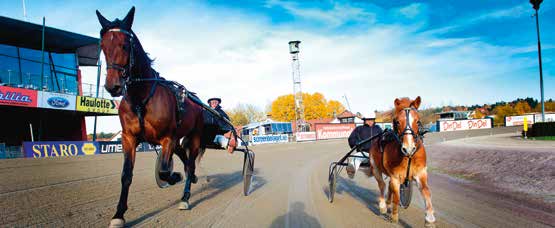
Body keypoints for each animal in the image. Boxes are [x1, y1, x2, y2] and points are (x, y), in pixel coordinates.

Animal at [96, 6, 207, 226]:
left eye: (124, 45)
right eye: (103, 46)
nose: (113, 86)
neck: (141, 99)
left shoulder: (167, 138)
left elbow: (164, 171)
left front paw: (174, 176)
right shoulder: (129, 138)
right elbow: (126, 175)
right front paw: (118, 214)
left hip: (195, 136)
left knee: (190, 164)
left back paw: (185, 196)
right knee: (184, 157)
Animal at [372, 95, 436, 224]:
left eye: (417, 121)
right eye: (397, 122)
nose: (408, 148)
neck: (409, 157)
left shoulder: (420, 173)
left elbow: (426, 192)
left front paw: (430, 218)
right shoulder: (395, 177)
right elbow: (396, 196)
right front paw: (394, 216)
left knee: (388, 187)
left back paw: (388, 203)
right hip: (375, 168)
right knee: (382, 185)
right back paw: (383, 206)